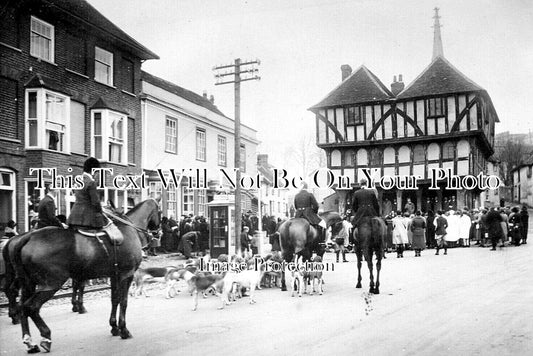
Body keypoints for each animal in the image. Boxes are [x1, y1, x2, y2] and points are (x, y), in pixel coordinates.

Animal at [6, 199, 160, 352]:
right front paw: (123, 329)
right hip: (50, 285)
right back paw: (46, 336)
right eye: (159, 211)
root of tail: (27, 237)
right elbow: (123, 301)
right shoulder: (126, 275)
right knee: (31, 307)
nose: (158, 233)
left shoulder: (114, 276)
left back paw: (29, 341)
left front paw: (114, 327)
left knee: (22, 306)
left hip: (28, 284)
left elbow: (114, 300)